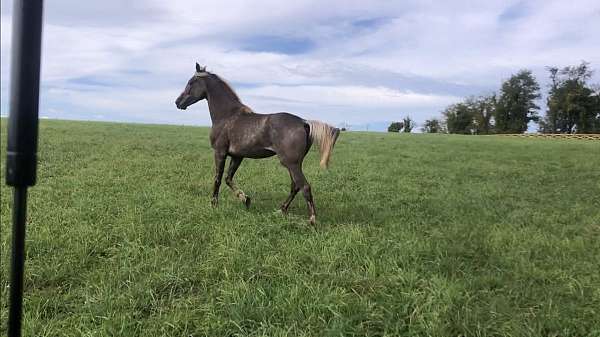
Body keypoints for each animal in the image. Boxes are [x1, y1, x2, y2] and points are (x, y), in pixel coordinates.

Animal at [176, 64, 340, 224]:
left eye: (191, 82)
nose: (178, 102)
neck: (227, 116)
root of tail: (304, 122)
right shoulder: (237, 156)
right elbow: (228, 179)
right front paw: (245, 199)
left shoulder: (220, 152)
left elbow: (218, 179)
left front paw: (214, 204)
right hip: (294, 164)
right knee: (295, 186)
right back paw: (281, 210)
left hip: (291, 163)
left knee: (304, 187)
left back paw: (311, 221)